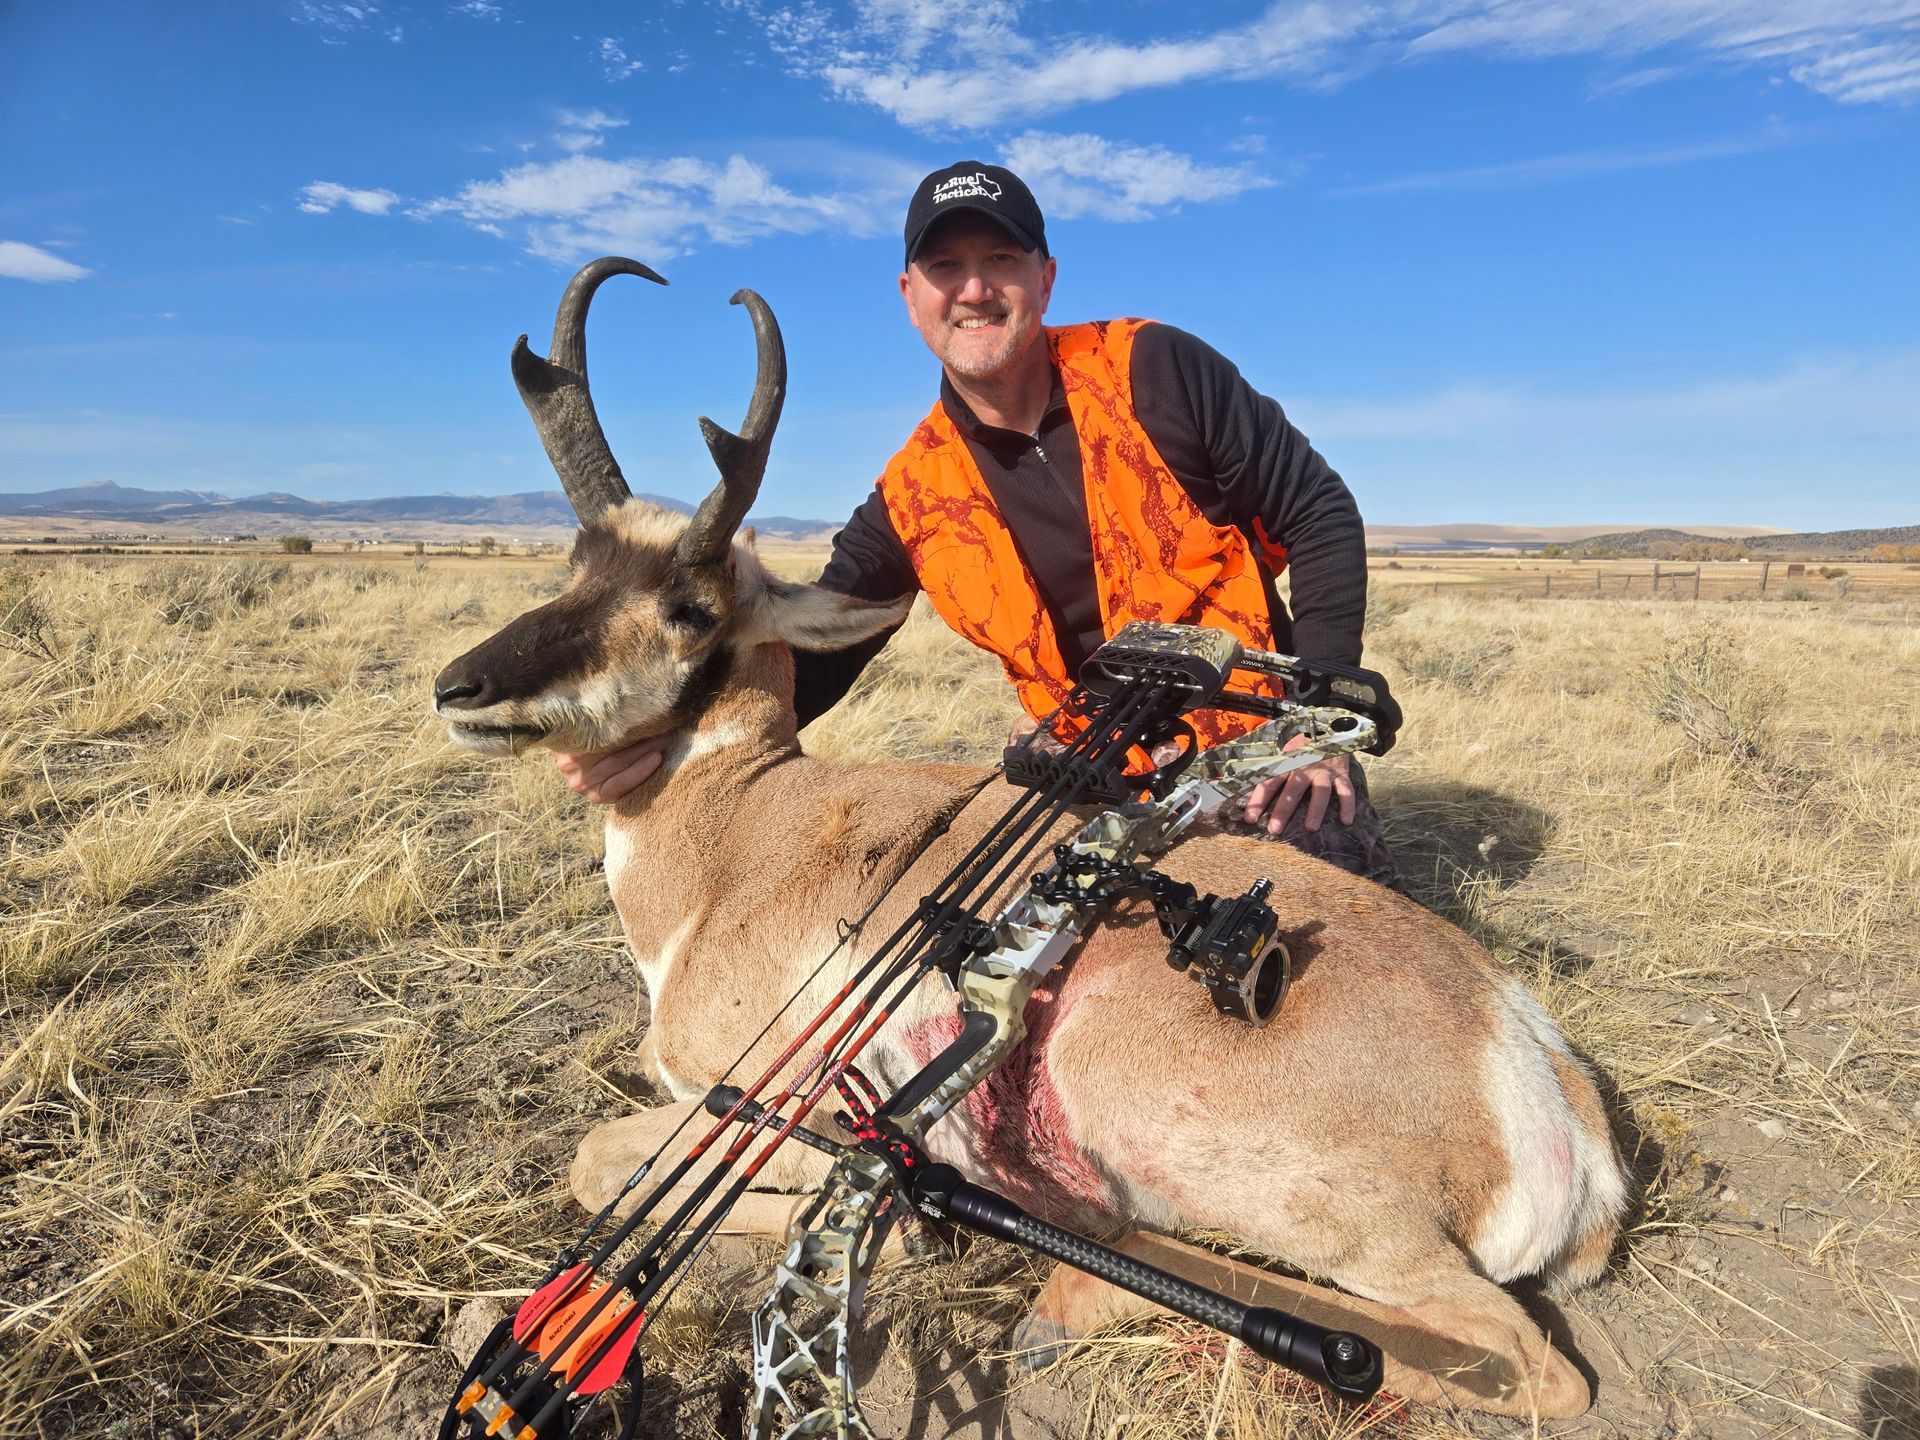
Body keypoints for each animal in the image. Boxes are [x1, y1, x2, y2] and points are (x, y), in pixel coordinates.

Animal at [432, 258, 1630, 1420]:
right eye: (575, 566)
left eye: (688, 605)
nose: (460, 687)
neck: (744, 830)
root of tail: (1530, 1057)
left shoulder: (754, 1102)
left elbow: (600, 1161)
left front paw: (909, 1235)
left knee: (1517, 1363)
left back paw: (1067, 1288)